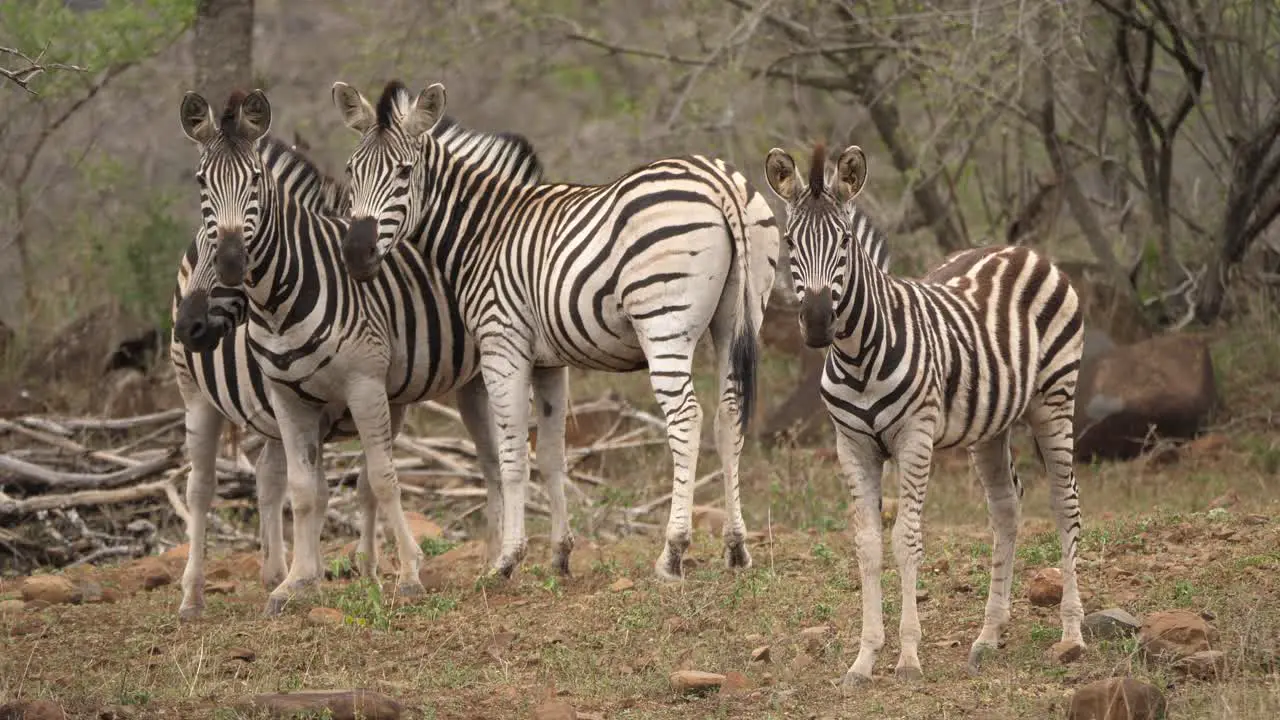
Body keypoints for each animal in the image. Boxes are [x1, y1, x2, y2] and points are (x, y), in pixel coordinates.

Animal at [171, 87, 555, 614]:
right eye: (200, 184)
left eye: (254, 184)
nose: (188, 328)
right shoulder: (293, 400)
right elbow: (309, 489)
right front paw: (304, 579)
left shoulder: (368, 388)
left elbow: (376, 479)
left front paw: (400, 572)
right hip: (196, 395)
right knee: (204, 488)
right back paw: (202, 592)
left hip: (471, 380)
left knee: (491, 464)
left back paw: (491, 558)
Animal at [330, 81, 778, 579]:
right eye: (351, 170)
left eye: (404, 172)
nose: (356, 255)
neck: (485, 232)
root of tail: (718, 180)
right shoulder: (550, 362)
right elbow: (550, 454)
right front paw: (560, 555)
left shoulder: (503, 346)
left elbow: (511, 456)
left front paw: (507, 559)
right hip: (736, 320)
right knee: (728, 415)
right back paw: (736, 547)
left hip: (664, 322)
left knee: (686, 418)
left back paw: (673, 551)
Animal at [762, 141, 1085, 681]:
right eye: (790, 242)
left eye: (845, 241)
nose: (817, 323)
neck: (858, 354)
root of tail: (1022, 250)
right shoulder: (852, 445)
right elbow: (868, 545)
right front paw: (865, 657)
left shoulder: (914, 437)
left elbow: (906, 539)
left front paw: (909, 656)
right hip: (991, 425)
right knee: (1006, 507)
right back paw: (988, 635)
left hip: (1055, 400)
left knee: (1066, 504)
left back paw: (1072, 634)